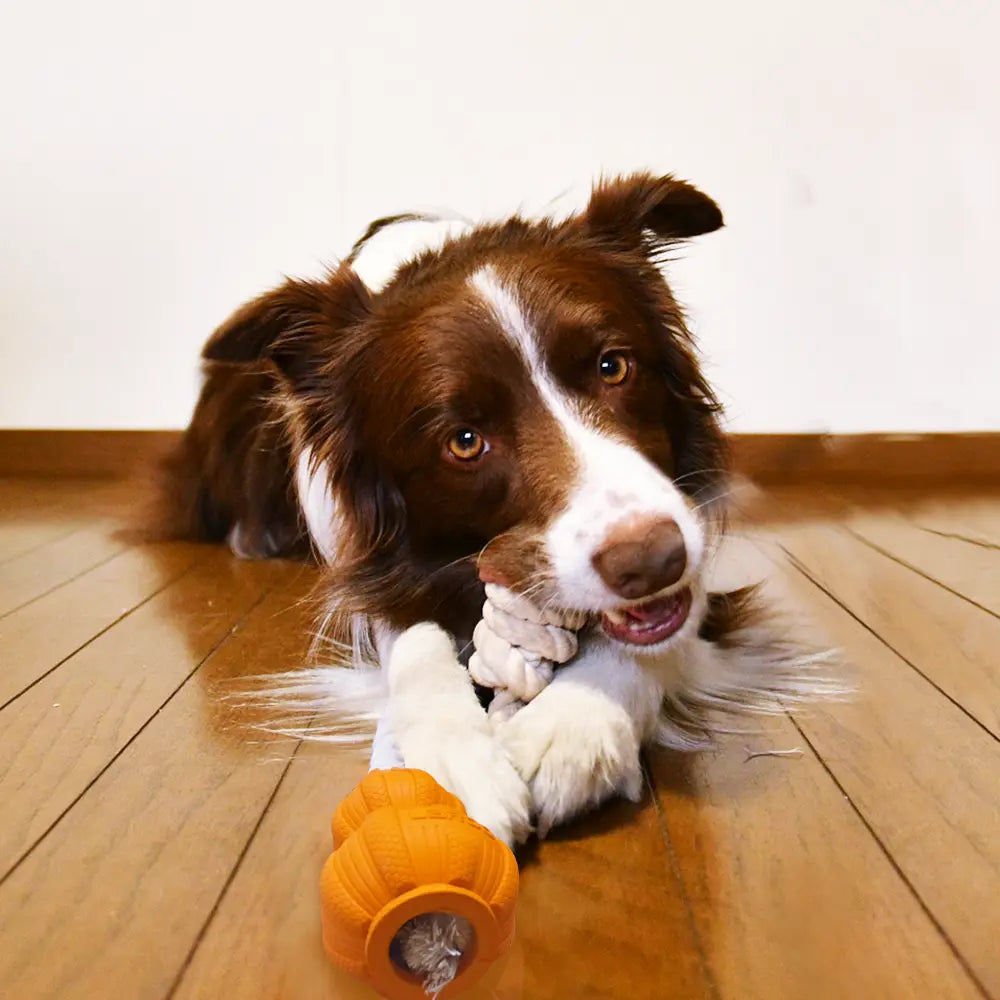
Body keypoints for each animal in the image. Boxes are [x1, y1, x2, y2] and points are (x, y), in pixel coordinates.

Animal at [166, 172, 836, 844]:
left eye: (613, 366)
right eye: (464, 441)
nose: (652, 560)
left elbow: (657, 633)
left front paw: (575, 724)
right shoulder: (379, 569)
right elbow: (410, 638)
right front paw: (448, 763)